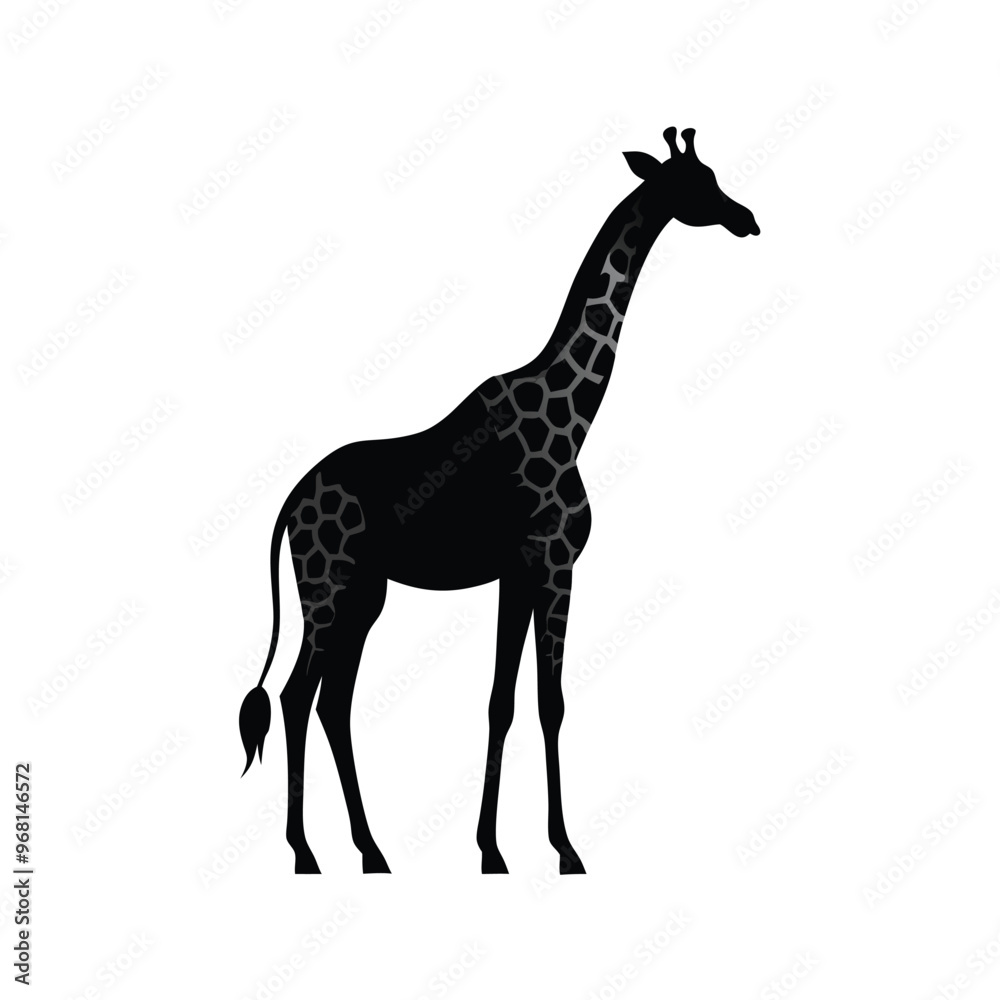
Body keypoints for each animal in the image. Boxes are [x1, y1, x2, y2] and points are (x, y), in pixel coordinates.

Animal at [238, 126, 759, 875]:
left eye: (713, 176)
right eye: (696, 184)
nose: (747, 219)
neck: (573, 416)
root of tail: (288, 503)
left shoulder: (521, 572)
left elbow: (507, 703)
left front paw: (496, 847)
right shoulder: (553, 562)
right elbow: (546, 702)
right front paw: (559, 850)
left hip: (365, 593)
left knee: (331, 700)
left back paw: (371, 851)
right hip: (328, 585)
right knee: (296, 695)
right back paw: (306, 853)